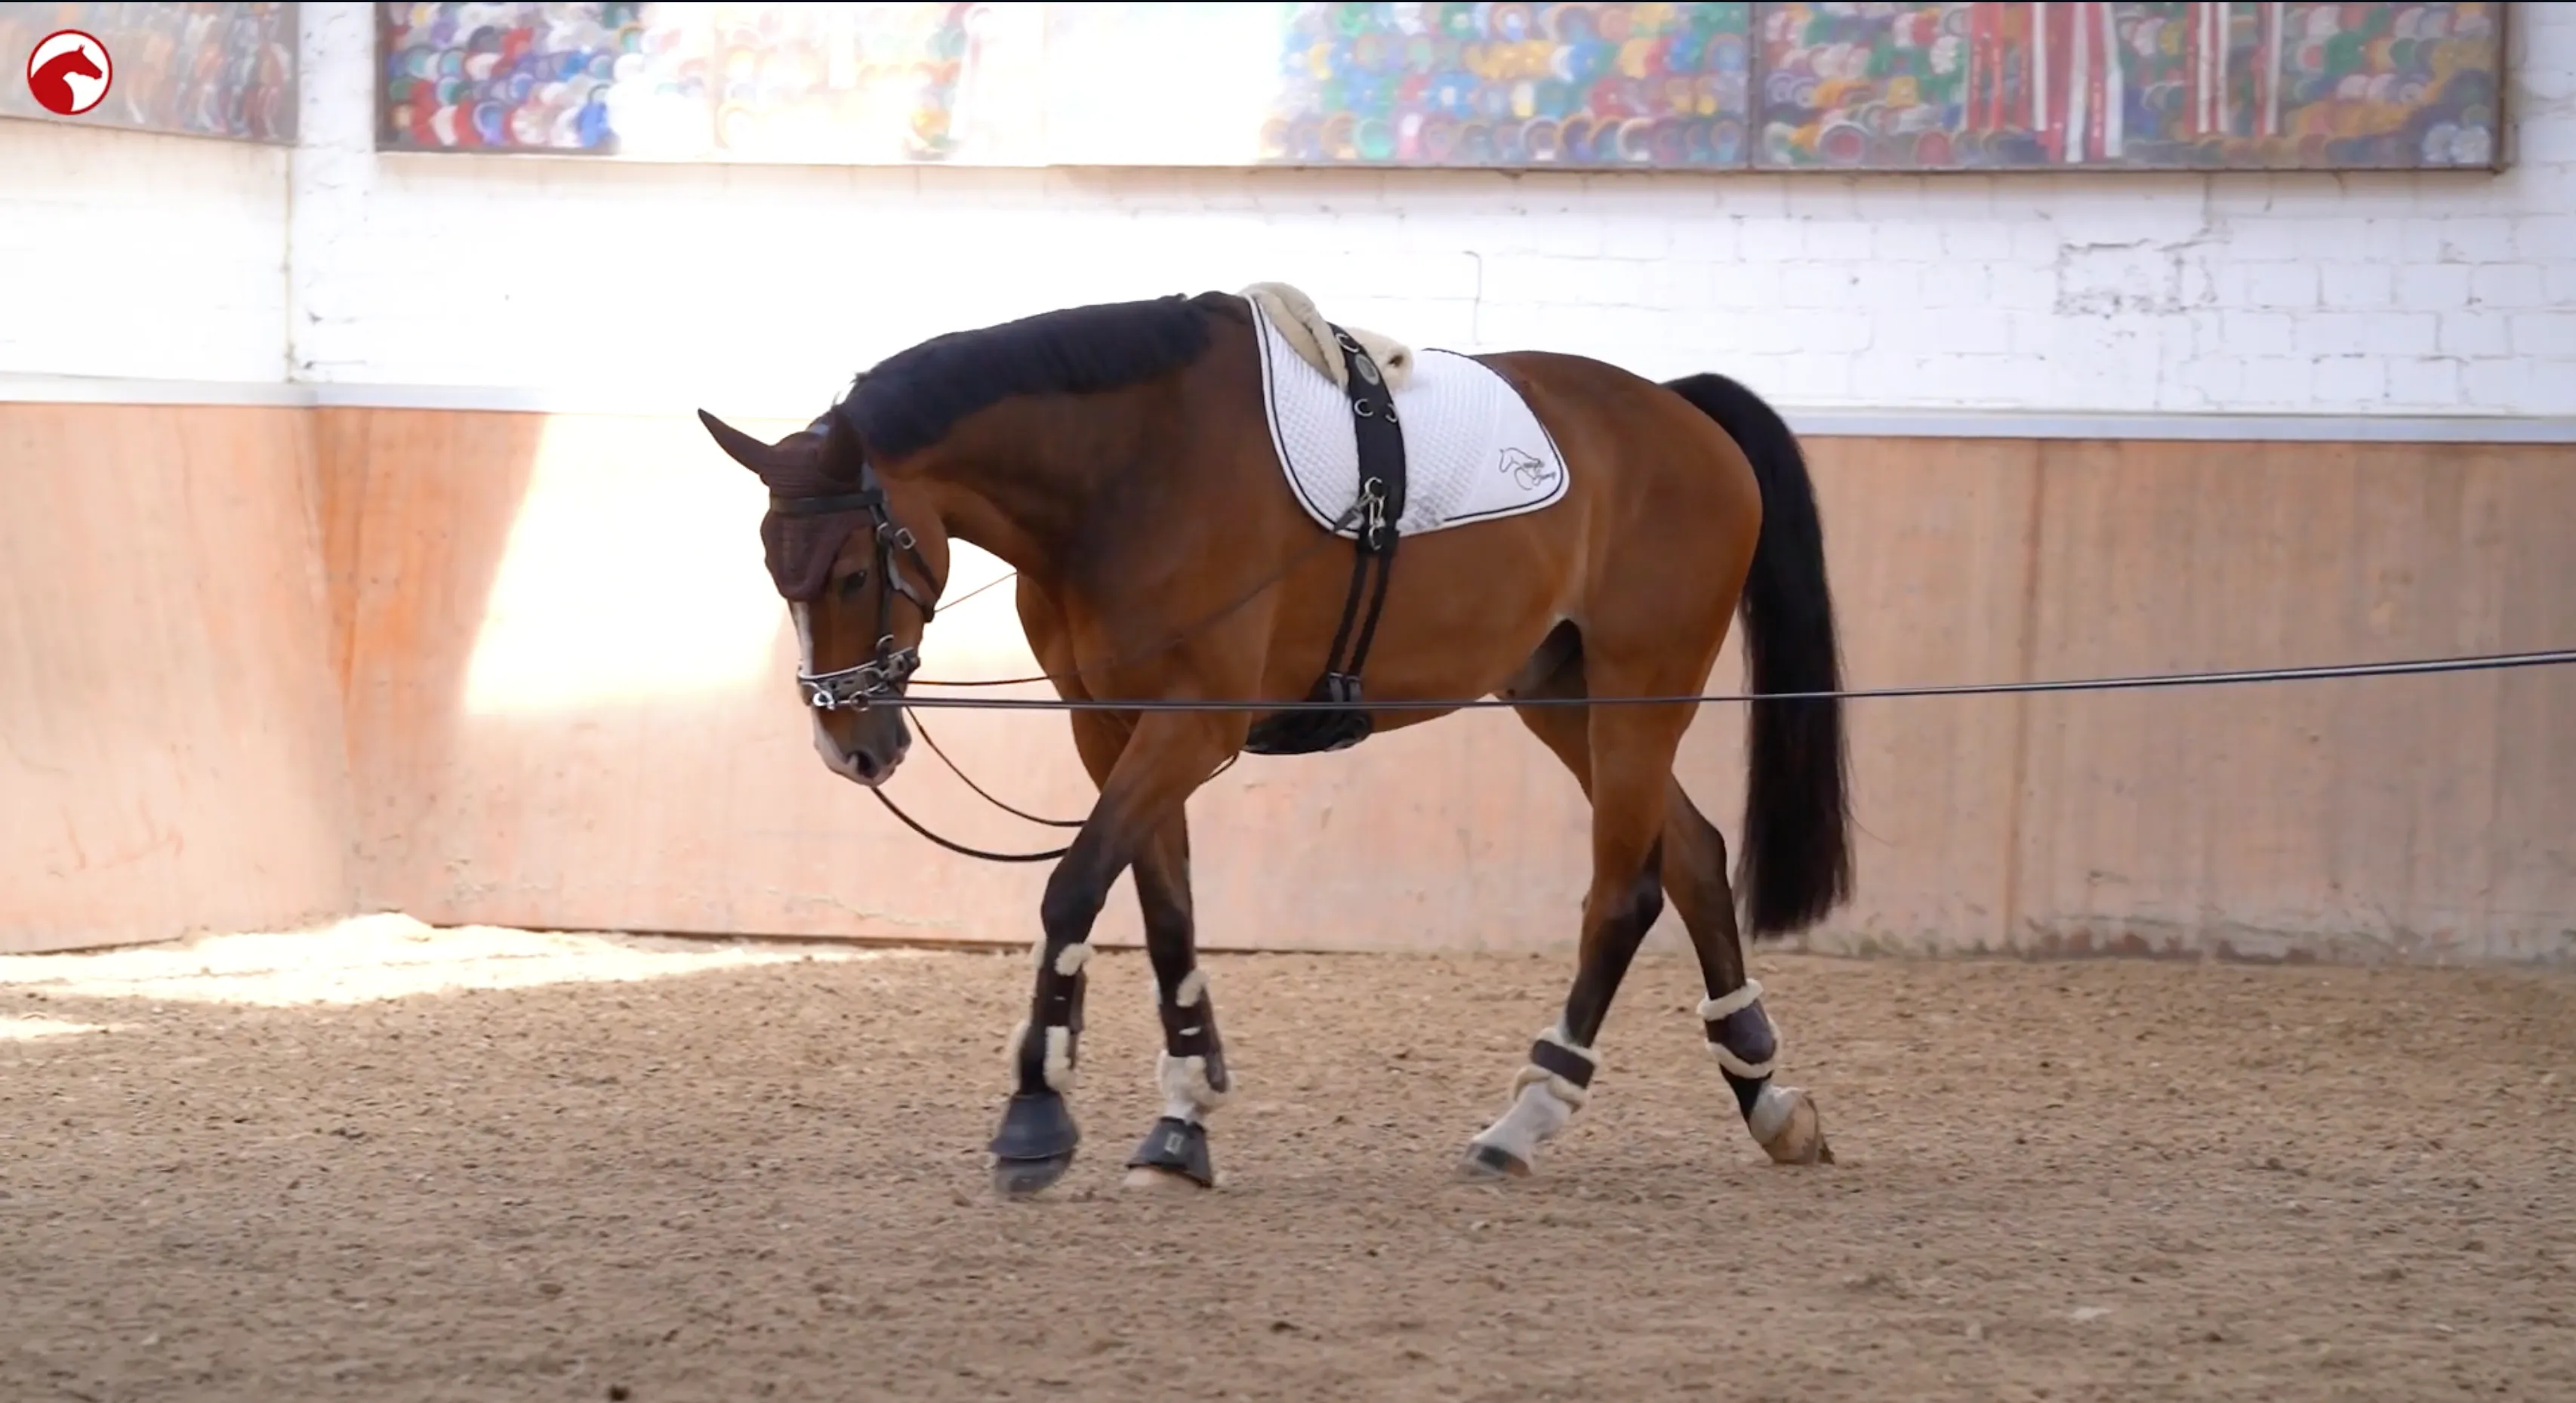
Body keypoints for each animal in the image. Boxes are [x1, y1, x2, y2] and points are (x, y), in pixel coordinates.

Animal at [696, 288, 1853, 1195]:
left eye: (853, 571)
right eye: (771, 567)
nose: (849, 745)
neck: (1125, 474)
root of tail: (1680, 408)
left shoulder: (1189, 722)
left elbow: (1073, 888)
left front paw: (1036, 1112)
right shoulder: (1110, 728)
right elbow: (1164, 911)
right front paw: (1180, 1119)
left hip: (1638, 691)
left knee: (1625, 890)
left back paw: (1528, 1115)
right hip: (1560, 693)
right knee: (1693, 853)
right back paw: (1764, 1093)